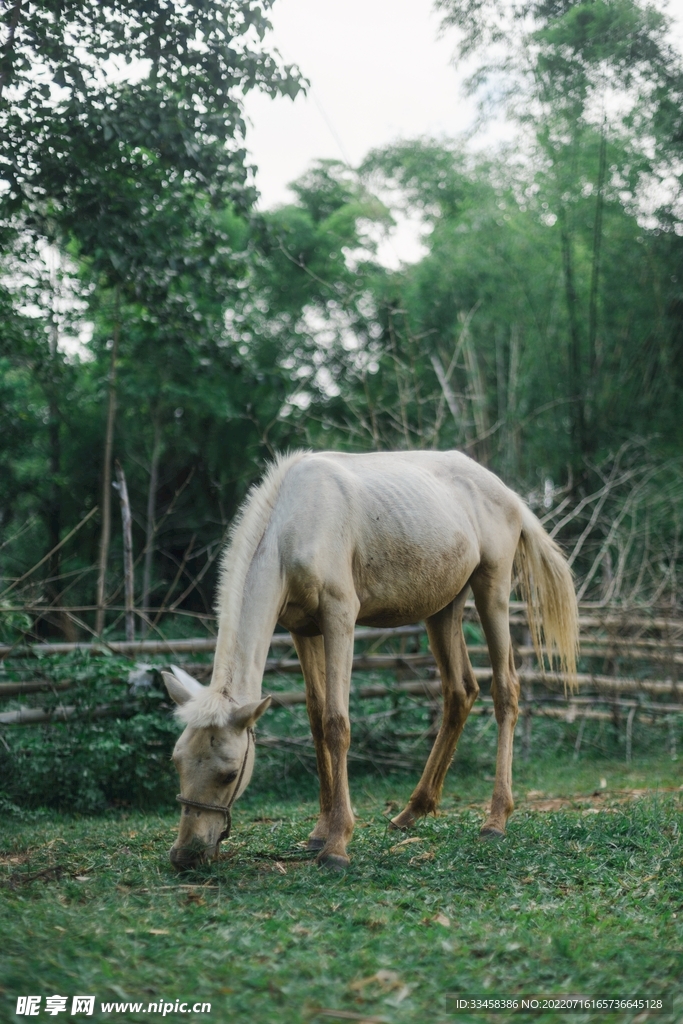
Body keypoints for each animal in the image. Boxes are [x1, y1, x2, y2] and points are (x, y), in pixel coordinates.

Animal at [163, 452, 577, 868]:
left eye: (230, 774)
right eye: (177, 762)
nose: (186, 854)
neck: (294, 523)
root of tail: (507, 493)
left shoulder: (340, 617)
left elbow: (336, 723)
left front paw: (336, 845)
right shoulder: (302, 630)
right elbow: (316, 719)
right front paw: (318, 832)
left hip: (492, 589)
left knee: (505, 690)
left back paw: (495, 821)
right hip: (443, 609)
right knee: (459, 692)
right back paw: (412, 811)